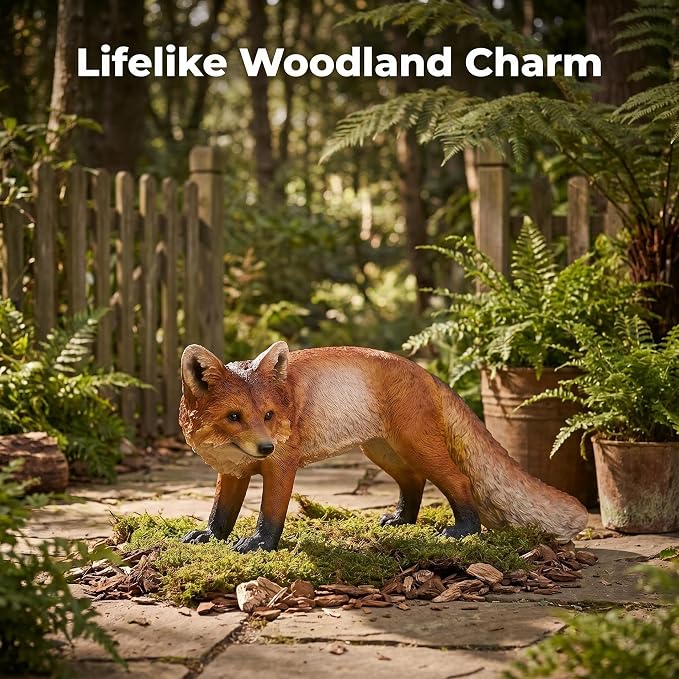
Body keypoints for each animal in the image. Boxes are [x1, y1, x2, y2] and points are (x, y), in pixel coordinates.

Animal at [178, 341, 588, 552]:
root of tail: (426, 372)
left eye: (268, 415)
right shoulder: (232, 472)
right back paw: (402, 520)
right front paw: (210, 537)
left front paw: (260, 544)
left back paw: (464, 531)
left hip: (416, 445)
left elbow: (270, 514)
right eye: (234, 416)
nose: (265, 447)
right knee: (415, 481)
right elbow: (220, 512)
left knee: (459, 482)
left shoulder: (282, 466)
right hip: (383, 452)